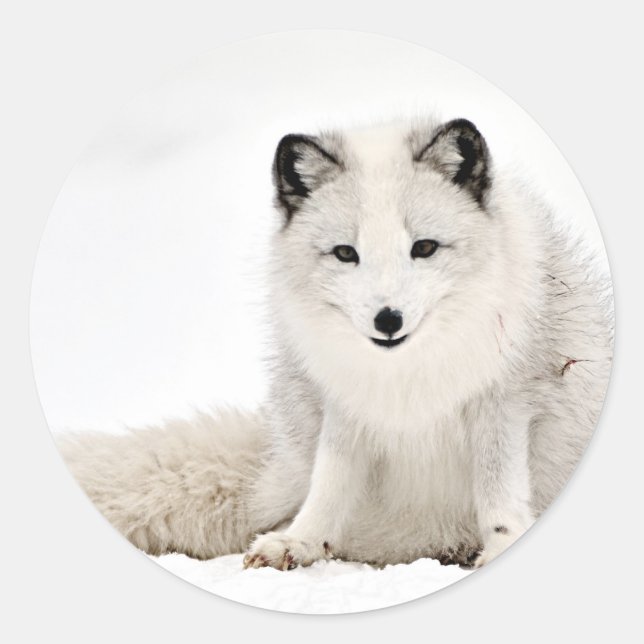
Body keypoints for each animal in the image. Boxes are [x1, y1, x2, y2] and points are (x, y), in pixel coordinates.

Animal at [58, 116, 613, 570]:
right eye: (346, 253)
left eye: (424, 248)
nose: (387, 319)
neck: (407, 375)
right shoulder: (344, 407)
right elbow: (329, 483)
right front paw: (301, 542)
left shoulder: (506, 400)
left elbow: (500, 487)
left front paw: (503, 545)